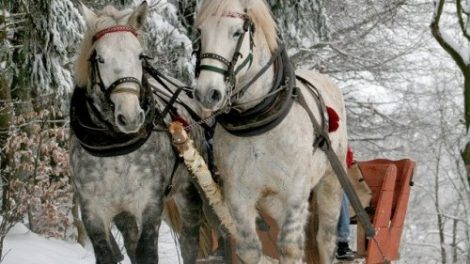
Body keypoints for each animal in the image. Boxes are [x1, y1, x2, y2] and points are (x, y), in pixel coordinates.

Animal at [192, 1, 348, 262]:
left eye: (237, 32)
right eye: (201, 33)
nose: (207, 93)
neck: (257, 123)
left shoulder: (295, 193)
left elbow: (289, 249)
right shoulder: (238, 197)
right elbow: (250, 249)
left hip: (331, 181)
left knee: (325, 239)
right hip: (271, 201)